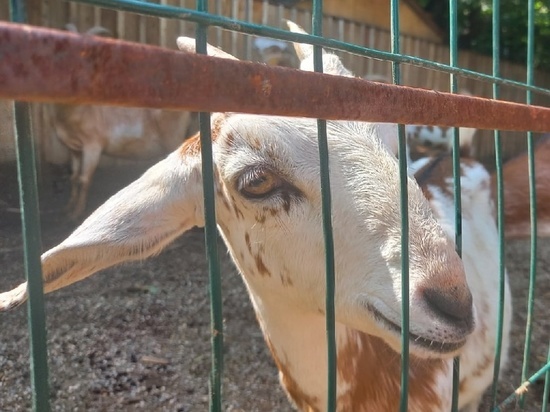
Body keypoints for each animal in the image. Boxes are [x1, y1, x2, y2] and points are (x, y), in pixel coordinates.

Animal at [52, 24, 199, 220]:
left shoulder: (93, 144)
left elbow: (84, 179)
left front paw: (77, 213)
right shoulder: (73, 148)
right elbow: (74, 177)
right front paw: (68, 208)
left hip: (172, 136)